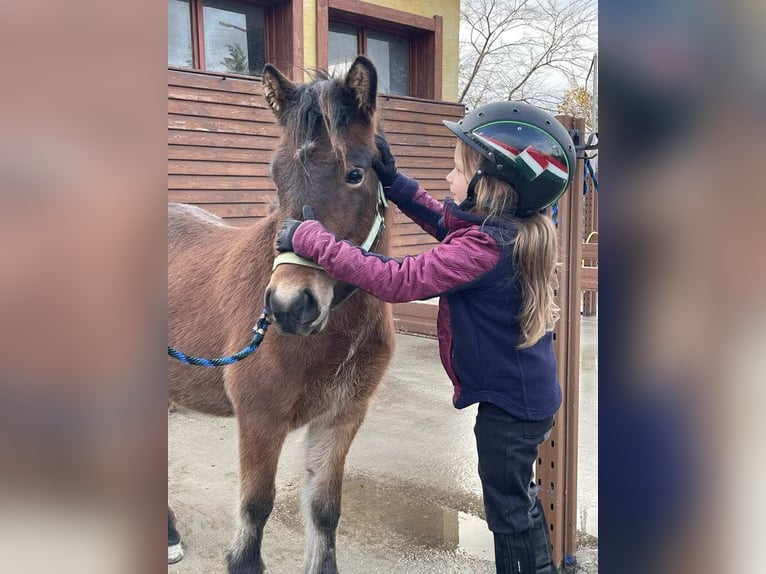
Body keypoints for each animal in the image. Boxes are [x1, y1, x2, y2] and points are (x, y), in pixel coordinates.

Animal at [168, 56, 395, 573]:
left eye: (356, 173)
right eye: (276, 173)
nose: (291, 306)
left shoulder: (341, 417)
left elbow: (324, 510)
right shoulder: (260, 418)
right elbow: (256, 509)